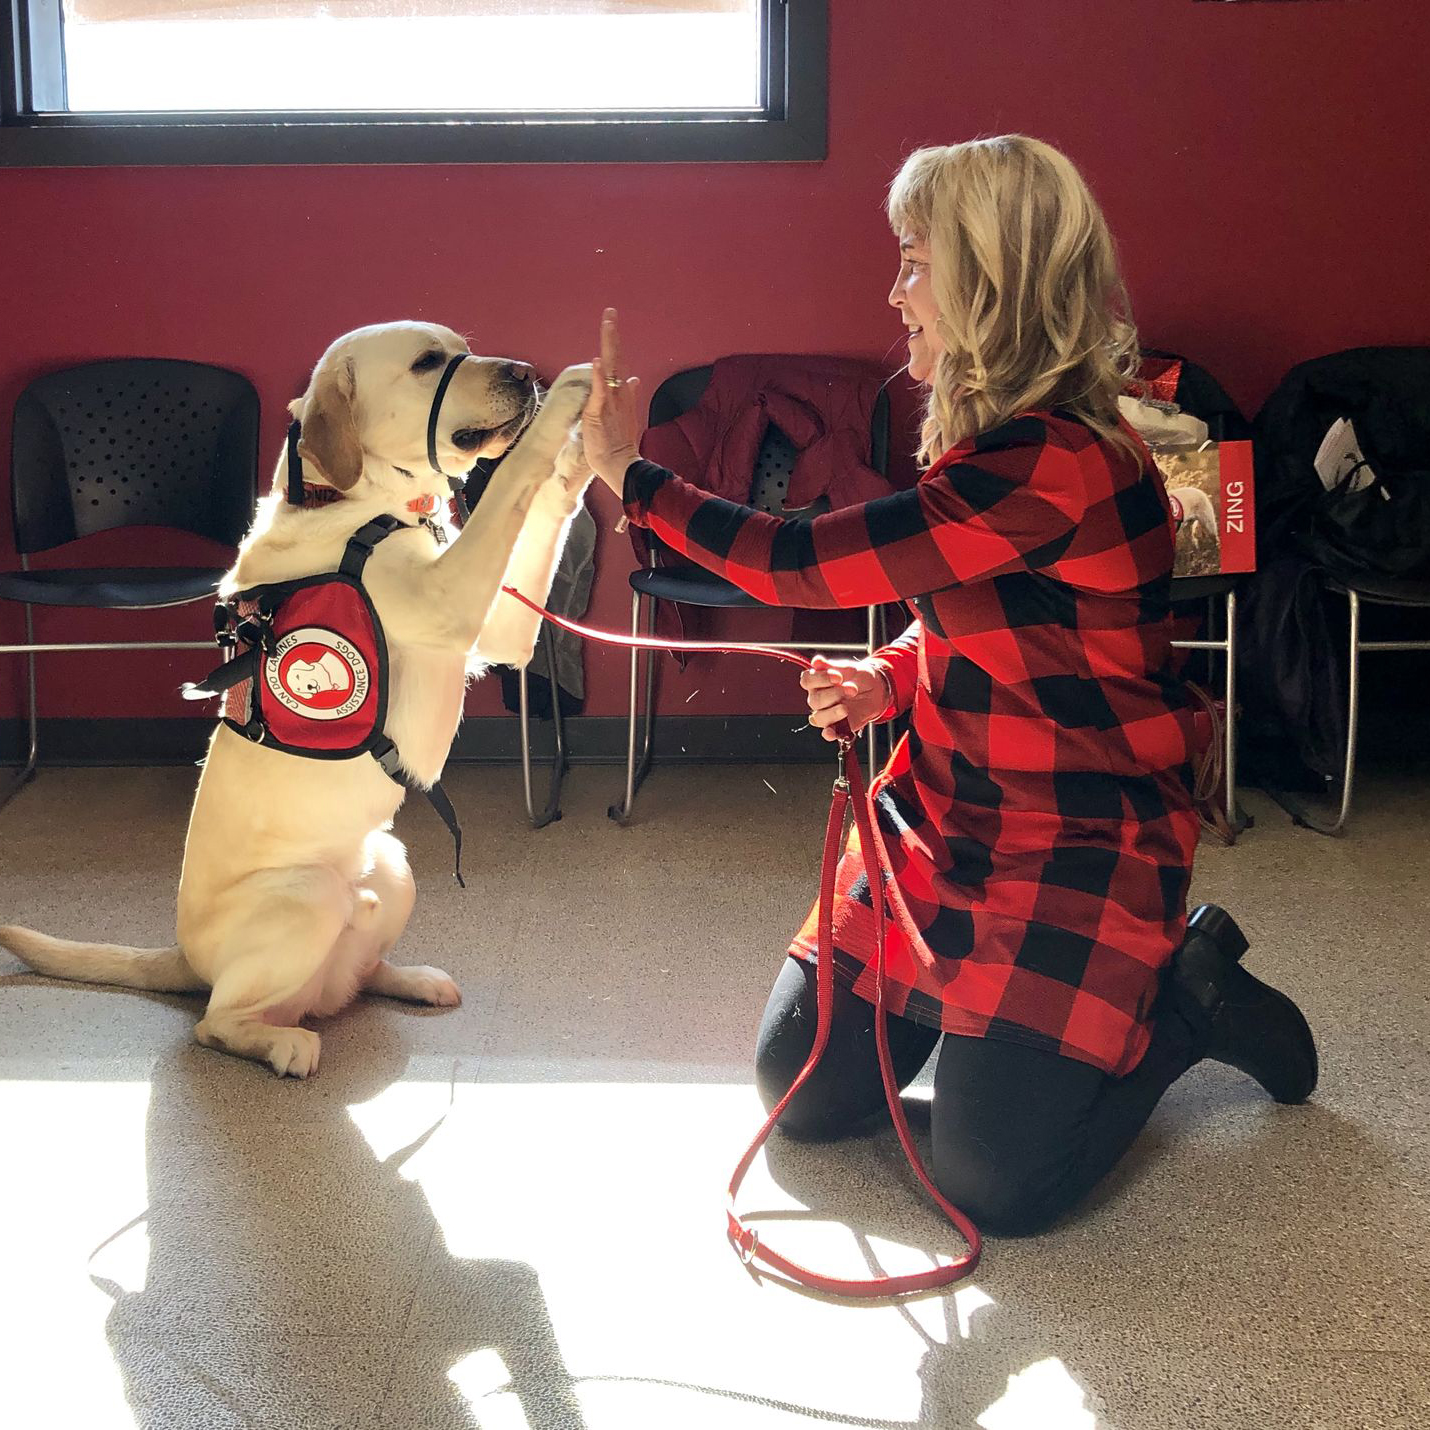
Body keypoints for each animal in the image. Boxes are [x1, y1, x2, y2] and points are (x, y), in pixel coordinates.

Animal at [0, 324, 592, 1075]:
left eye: (462, 346)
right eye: (428, 362)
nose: (523, 371)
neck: (353, 505)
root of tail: (187, 959)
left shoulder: (502, 628)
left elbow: (541, 509)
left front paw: (582, 450)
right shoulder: (451, 597)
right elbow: (512, 485)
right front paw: (564, 405)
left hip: (393, 867)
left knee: (356, 977)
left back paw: (412, 979)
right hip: (305, 897)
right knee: (216, 1023)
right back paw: (282, 1043)